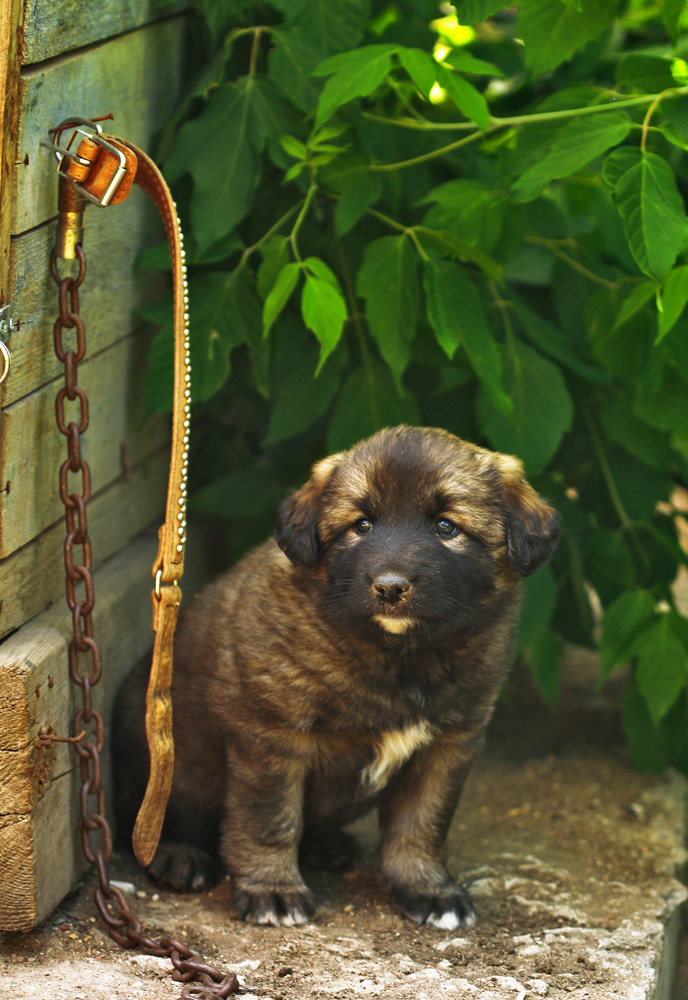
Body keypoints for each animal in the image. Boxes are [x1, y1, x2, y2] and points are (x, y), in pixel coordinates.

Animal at [114, 428, 560, 928]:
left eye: (447, 527)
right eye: (361, 525)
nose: (389, 587)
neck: (398, 658)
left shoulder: (449, 744)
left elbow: (422, 823)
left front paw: (428, 889)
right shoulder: (273, 738)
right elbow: (270, 820)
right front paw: (273, 890)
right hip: (156, 746)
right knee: (145, 817)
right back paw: (177, 856)